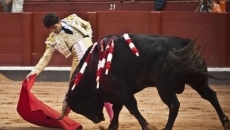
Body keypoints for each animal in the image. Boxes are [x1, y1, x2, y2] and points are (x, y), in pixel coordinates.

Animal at [60, 33, 229, 130]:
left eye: (80, 106)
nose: (98, 119)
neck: (94, 66)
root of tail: (183, 43)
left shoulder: (121, 90)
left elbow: (132, 107)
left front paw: (148, 126)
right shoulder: (117, 93)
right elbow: (117, 109)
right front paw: (112, 126)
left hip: (164, 87)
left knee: (174, 105)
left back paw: (166, 128)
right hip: (197, 80)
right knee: (211, 95)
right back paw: (225, 122)